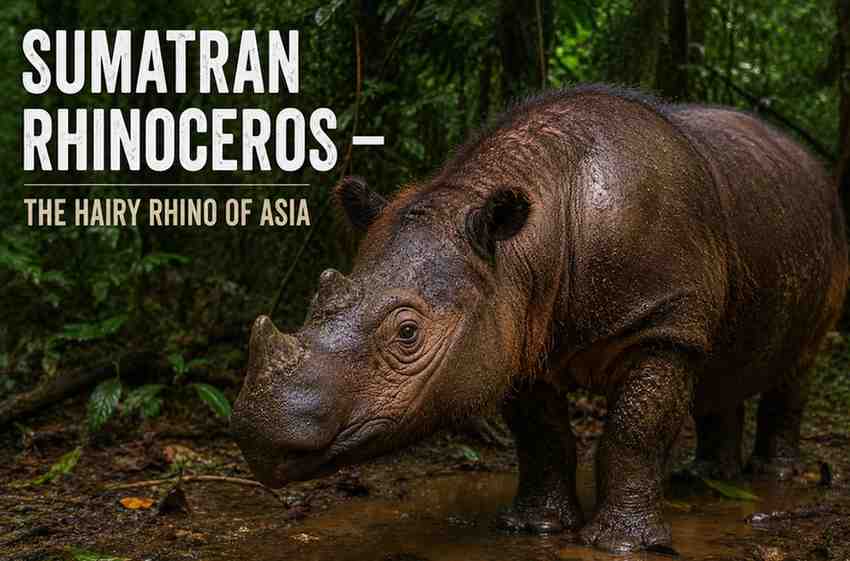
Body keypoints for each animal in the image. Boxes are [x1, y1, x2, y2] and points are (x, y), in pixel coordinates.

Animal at [232, 85, 848, 552]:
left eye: (408, 333)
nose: (259, 433)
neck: (528, 246)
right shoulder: (515, 329)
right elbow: (541, 434)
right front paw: (535, 528)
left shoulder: (661, 321)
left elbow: (635, 428)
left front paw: (623, 545)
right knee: (721, 364)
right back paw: (706, 478)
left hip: (826, 232)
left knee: (800, 363)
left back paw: (772, 478)